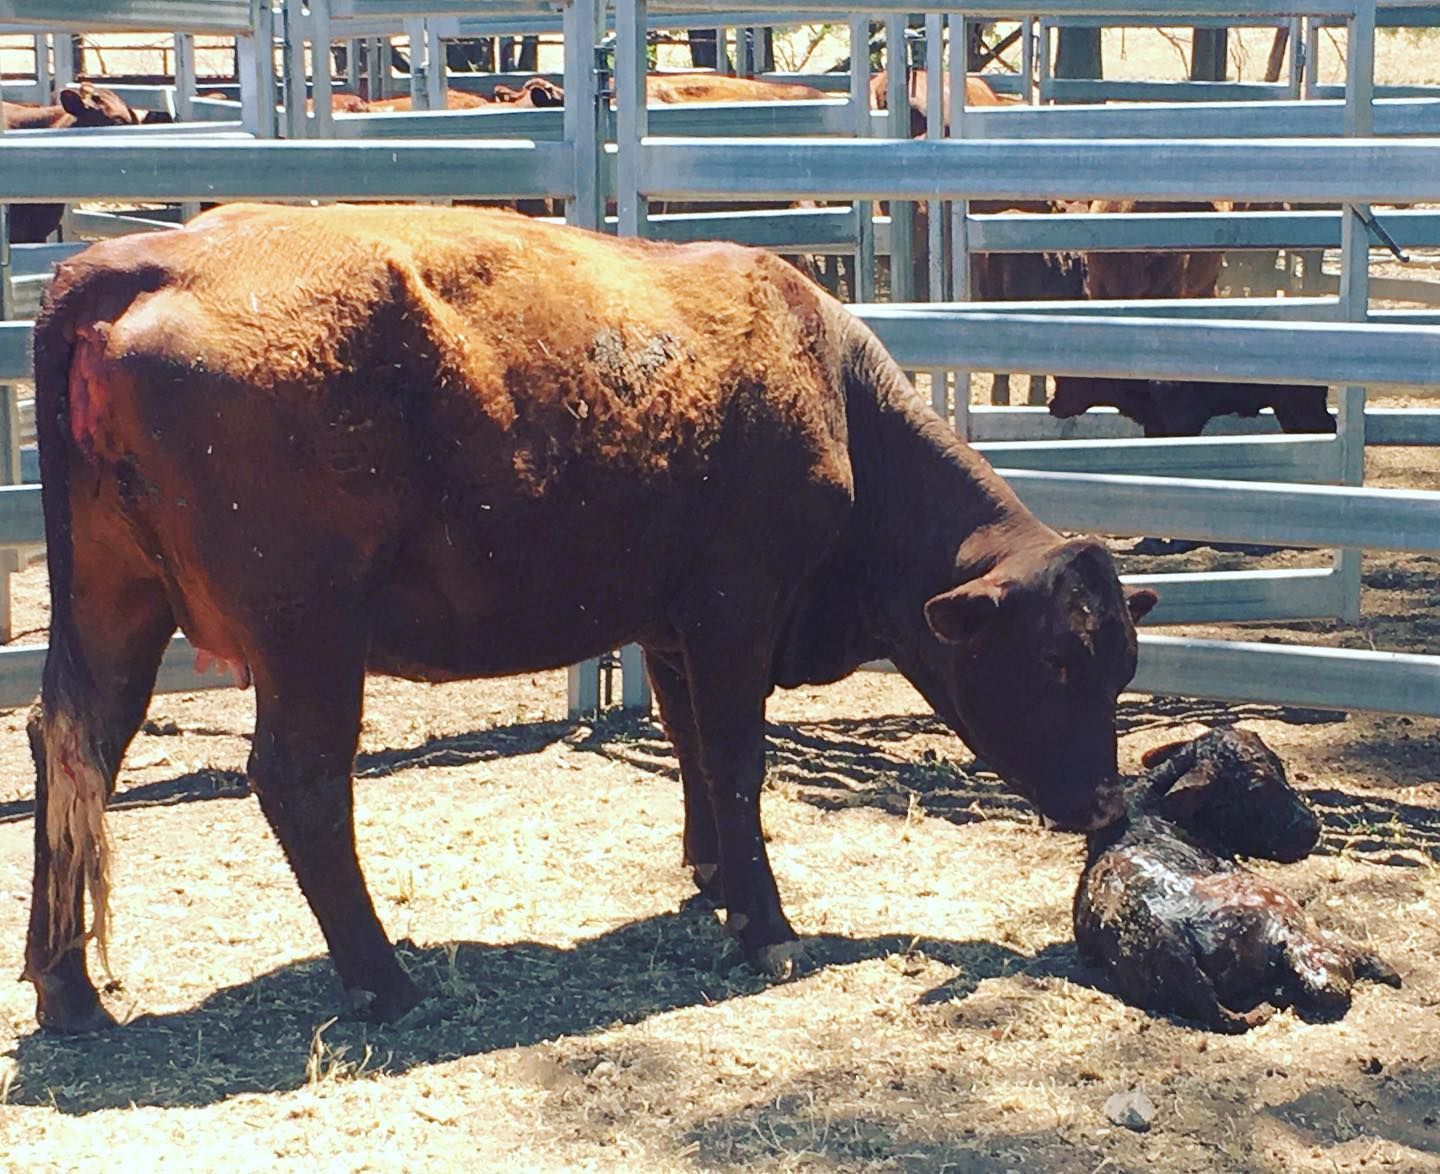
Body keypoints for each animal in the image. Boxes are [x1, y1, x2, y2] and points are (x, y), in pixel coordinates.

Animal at [25, 203, 1155, 1032]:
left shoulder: (666, 620)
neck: (831, 388)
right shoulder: (736, 606)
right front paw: (766, 924)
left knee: (74, 745)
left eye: (1121, 666)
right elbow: (737, 754)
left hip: (115, 604)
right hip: (308, 631)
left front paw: (714, 876)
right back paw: (384, 980)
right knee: (298, 780)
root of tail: (142, 260)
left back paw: (69, 990)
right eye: (1059, 660)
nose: (1108, 804)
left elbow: (691, 742)